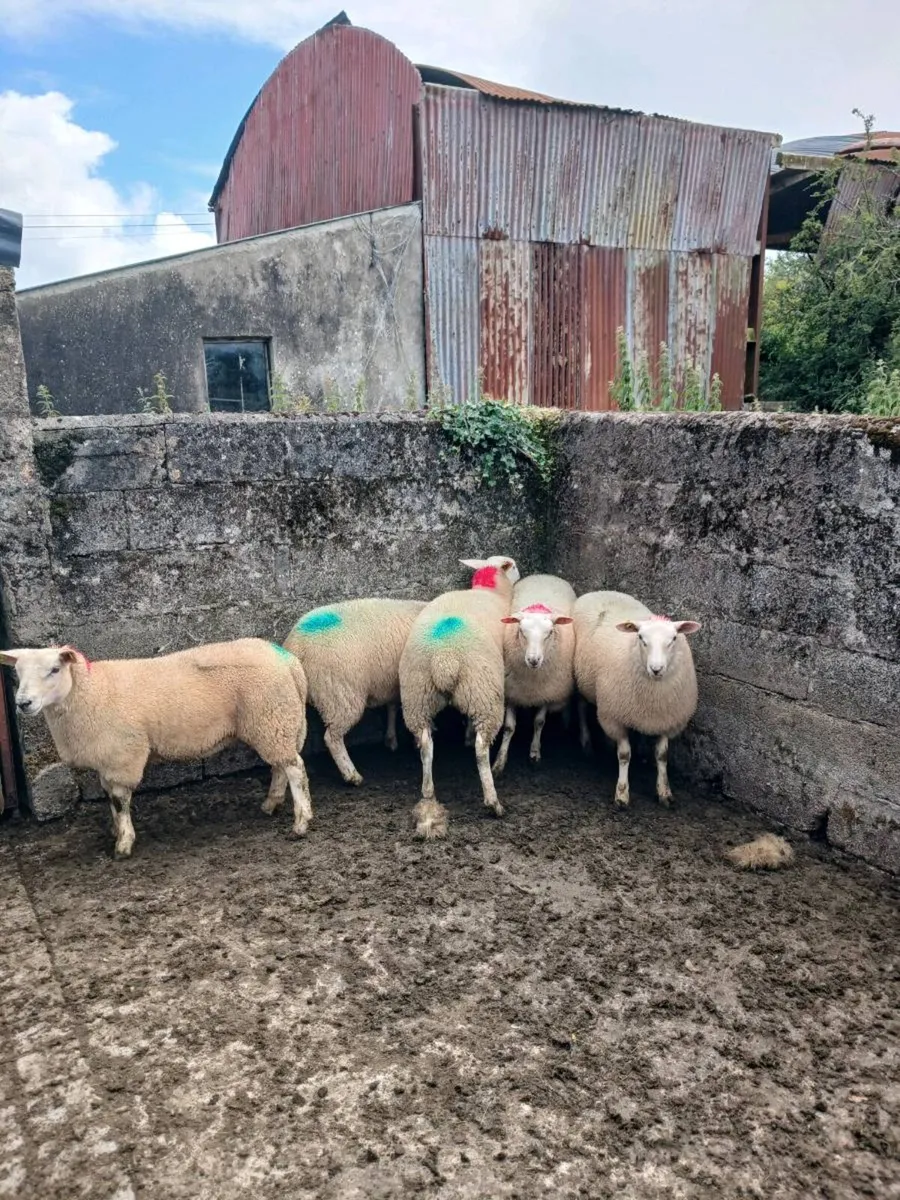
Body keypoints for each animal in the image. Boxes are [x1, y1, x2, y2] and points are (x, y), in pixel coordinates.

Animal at [0, 639, 312, 859]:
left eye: (54, 670)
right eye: (17, 673)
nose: (23, 703)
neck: (88, 692)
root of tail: (289, 662)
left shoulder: (122, 755)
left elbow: (119, 801)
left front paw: (123, 843)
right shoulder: (107, 760)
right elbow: (109, 799)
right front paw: (116, 829)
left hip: (271, 716)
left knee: (295, 769)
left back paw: (301, 822)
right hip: (273, 724)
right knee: (280, 766)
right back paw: (271, 804)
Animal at [282, 597, 426, 787]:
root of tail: (296, 646)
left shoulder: (393, 683)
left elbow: (393, 706)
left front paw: (391, 739)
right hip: (341, 694)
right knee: (332, 738)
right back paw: (351, 774)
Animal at [399, 556, 520, 839]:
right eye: (512, 565)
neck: (490, 592)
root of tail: (444, 659)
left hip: (417, 696)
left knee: (426, 745)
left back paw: (428, 791)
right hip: (484, 692)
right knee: (481, 749)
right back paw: (493, 802)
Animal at [492, 574, 576, 776]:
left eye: (550, 633)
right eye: (522, 631)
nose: (533, 660)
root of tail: (546, 574)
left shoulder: (547, 692)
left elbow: (539, 722)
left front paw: (534, 752)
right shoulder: (513, 691)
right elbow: (509, 727)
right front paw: (499, 762)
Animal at [573, 591, 701, 808]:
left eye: (673, 638)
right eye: (641, 638)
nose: (656, 669)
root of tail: (600, 591)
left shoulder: (667, 720)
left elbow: (662, 756)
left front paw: (664, 792)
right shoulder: (614, 717)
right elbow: (624, 755)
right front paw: (622, 794)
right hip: (583, 680)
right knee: (581, 707)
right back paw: (586, 742)